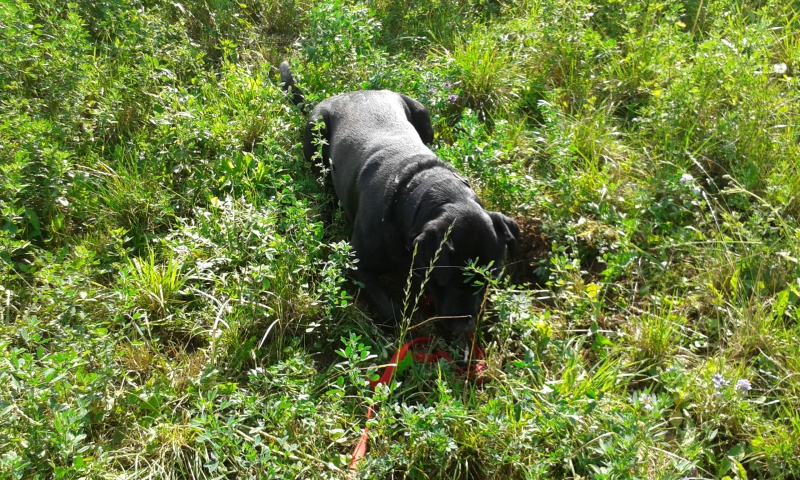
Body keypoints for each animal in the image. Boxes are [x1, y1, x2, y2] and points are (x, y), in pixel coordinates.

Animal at [282, 62, 520, 334]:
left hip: (422, 113)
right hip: (316, 132)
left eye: (491, 278)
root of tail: (351, 93)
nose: (464, 329)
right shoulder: (358, 264)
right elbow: (390, 309)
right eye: (449, 279)